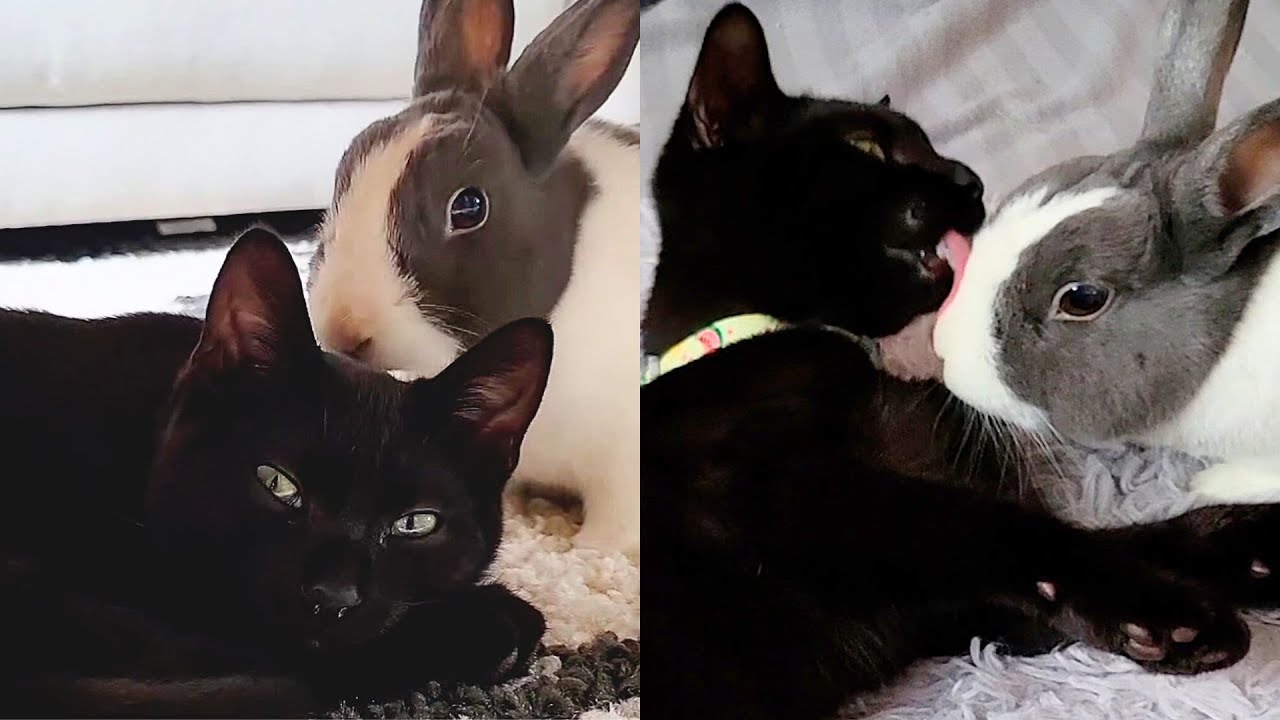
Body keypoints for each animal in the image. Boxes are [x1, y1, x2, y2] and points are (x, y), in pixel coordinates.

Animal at [305, 0, 640, 555]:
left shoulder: (625, 457)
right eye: (341, 182)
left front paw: (588, 548)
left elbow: (617, 521)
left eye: (468, 208)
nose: (343, 328)